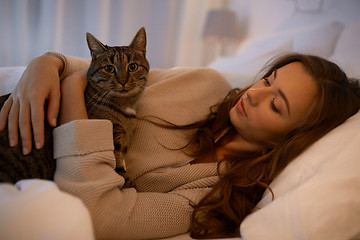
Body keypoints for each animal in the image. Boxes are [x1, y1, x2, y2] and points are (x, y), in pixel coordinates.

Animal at [0, 27, 149, 183]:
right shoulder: (114, 140)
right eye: (109, 68)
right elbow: (119, 169)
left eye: (132, 66)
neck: (126, 105)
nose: (123, 81)